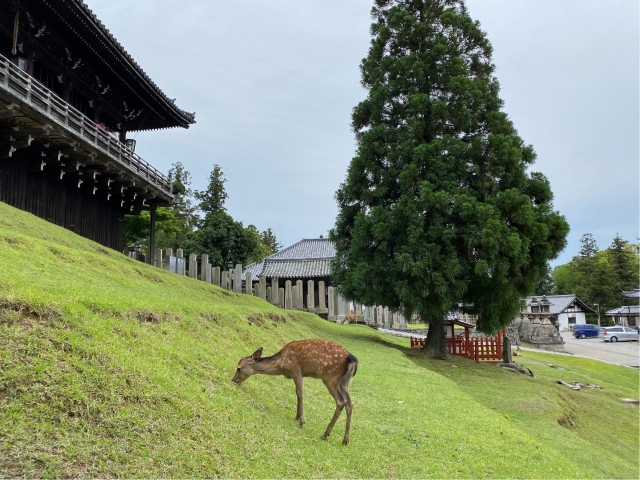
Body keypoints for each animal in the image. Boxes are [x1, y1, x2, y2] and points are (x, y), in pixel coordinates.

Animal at [231, 340, 360, 444]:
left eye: (239, 368)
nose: (233, 380)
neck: (280, 363)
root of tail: (353, 360)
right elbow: (297, 393)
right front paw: (297, 416)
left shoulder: (296, 369)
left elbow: (300, 393)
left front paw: (301, 421)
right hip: (344, 382)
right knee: (350, 403)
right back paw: (345, 440)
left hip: (330, 376)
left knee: (341, 401)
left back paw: (325, 434)